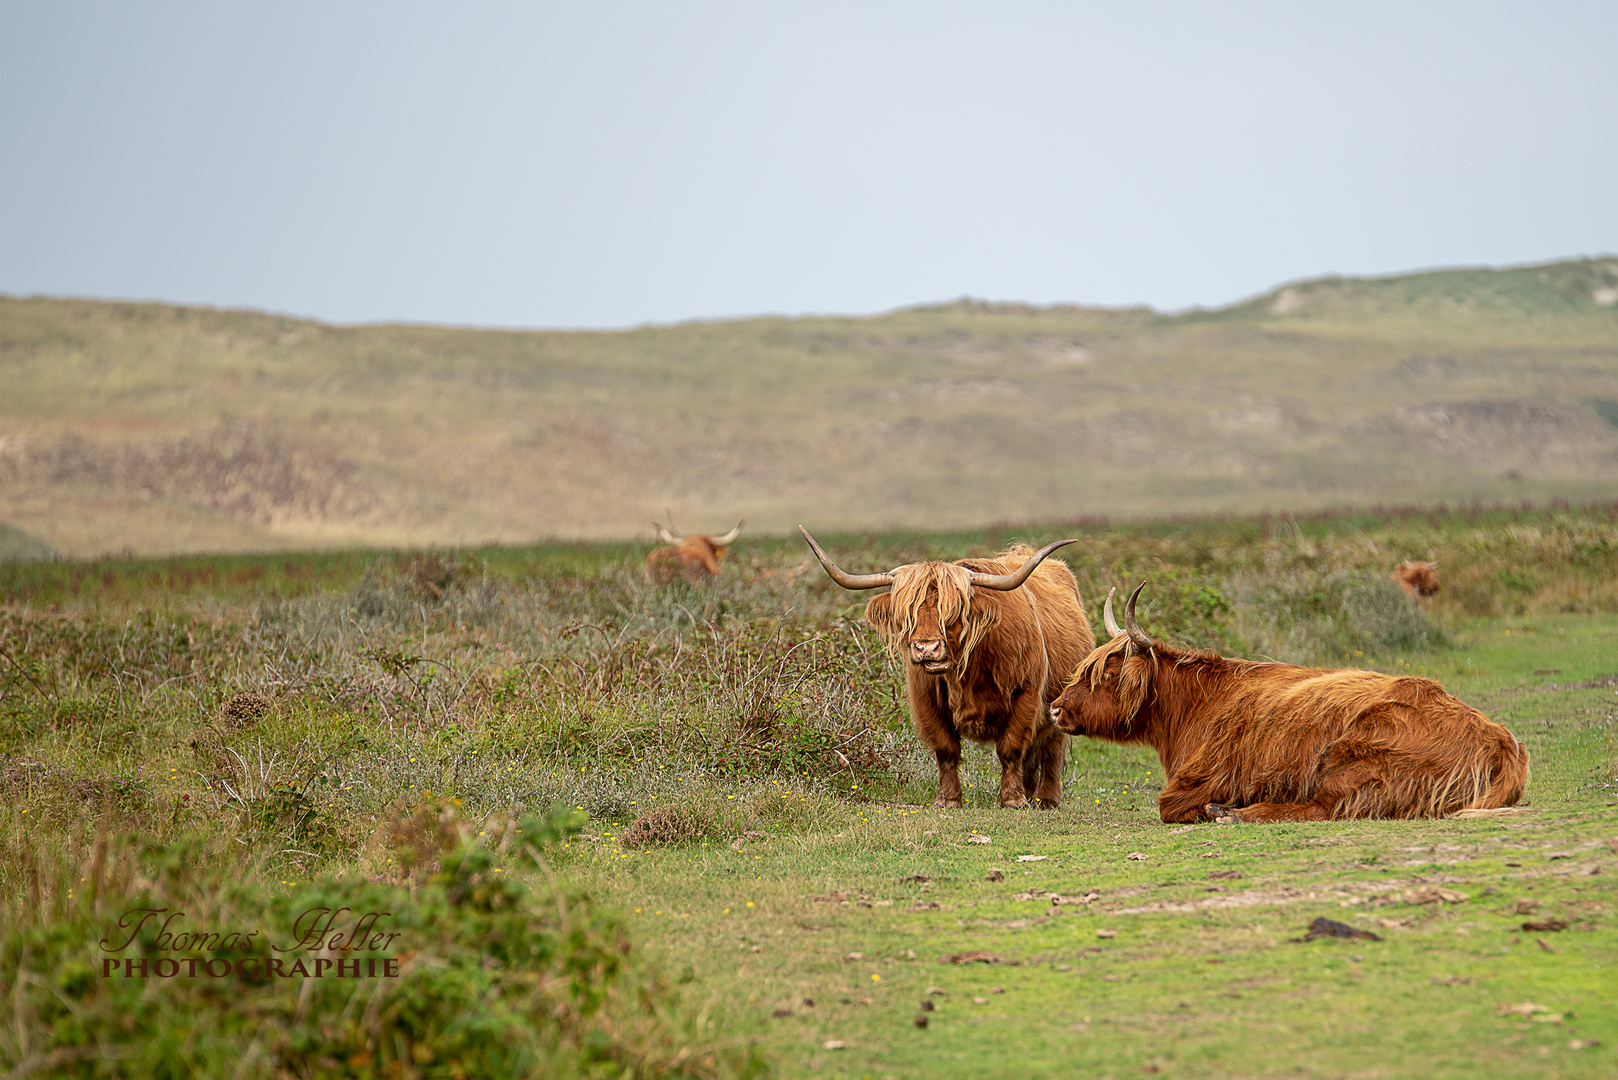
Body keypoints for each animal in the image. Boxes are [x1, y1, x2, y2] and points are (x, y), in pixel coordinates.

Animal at [799, 527, 1093, 806]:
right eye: (908, 615)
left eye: (952, 613)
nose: (927, 648)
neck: (969, 669)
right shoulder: (926, 700)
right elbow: (946, 749)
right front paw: (948, 799)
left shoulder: (1027, 693)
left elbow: (1011, 748)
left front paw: (1012, 799)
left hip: (1059, 703)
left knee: (1051, 749)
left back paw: (1046, 800)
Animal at [1048, 586, 1527, 822]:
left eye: (1105, 675)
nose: (1054, 708)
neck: (1196, 707)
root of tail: (1499, 739)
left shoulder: (1198, 779)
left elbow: (1168, 807)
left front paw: (1215, 808)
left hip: (1351, 758)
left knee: (1322, 808)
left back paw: (1231, 813)